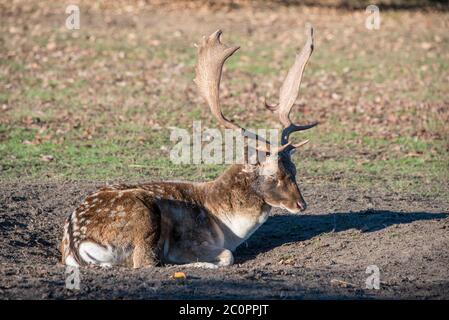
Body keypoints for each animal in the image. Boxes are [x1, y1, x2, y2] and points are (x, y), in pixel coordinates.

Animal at [61, 25, 316, 268]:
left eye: (294, 170)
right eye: (272, 175)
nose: (301, 205)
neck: (226, 228)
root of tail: (76, 243)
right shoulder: (190, 240)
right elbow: (227, 255)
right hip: (142, 215)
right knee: (145, 262)